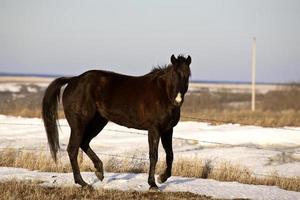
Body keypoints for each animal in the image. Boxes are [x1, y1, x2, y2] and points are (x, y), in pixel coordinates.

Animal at [41, 54, 192, 189]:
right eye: (174, 74)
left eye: (187, 75)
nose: (178, 100)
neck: (163, 93)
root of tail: (73, 80)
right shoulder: (154, 129)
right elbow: (153, 155)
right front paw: (153, 184)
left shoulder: (167, 129)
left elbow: (170, 154)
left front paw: (162, 177)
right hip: (79, 125)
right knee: (73, 149)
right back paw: (83, 183)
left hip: (98, 123)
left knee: (84, 143)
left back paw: (99, 172)